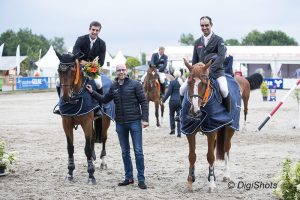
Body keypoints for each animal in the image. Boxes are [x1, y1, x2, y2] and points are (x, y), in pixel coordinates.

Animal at [55, 52, 110, 184]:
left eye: (73, 70)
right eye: (59, 70)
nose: (65, 97)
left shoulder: (86, 122)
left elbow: (87, 149)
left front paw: (91, 176)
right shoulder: (66, 123)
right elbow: (70, 148)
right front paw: (69, 173)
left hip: (105, 120)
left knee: (104, 138)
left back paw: (103, 162)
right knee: (94, 137)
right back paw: (94, 161)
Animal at [182, 59, 262, 192]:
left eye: (204, 83)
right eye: (189, 82)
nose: (194, 111)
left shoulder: (211, 131)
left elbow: (210, 156)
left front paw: (211, 184)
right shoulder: (190, 131)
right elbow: (192, 156)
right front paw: (190, 182)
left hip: (230, 128)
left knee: (226, 148)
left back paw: (226, 175)